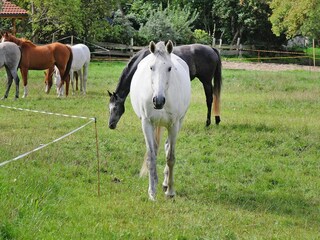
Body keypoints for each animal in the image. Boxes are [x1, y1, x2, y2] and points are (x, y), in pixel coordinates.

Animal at [129, 40, 190, 201]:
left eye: (169, 68)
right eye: (151, 67)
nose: (158, 101)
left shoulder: (173, 125)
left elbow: (170, 157)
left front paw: (171, 191)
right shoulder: (146, 124)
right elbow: (151, 157)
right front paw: (152, 192)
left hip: (178, 123)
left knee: (167, 147)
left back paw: (165, 183)